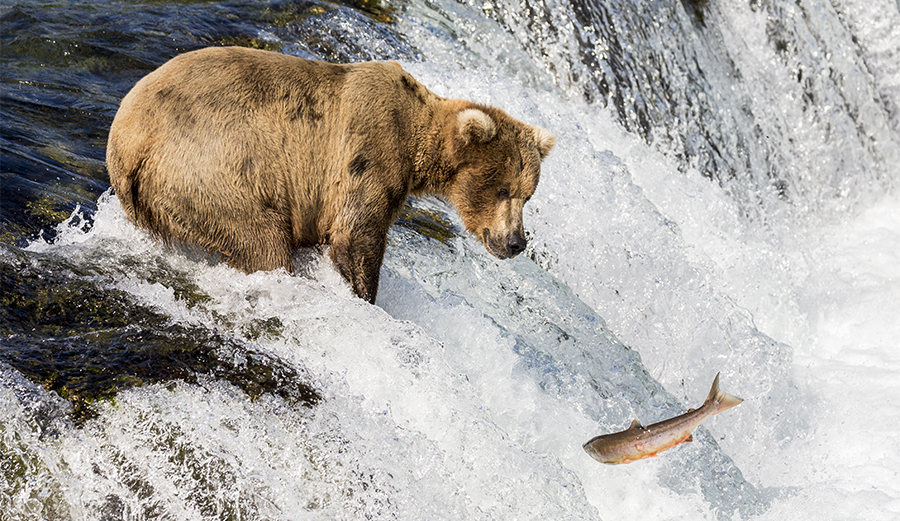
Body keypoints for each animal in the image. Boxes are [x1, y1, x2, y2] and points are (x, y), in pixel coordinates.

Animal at [106, 46, 555, 303]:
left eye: (528, 194)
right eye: (503, 190)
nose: (516, 242)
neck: (416, 143)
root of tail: (127, 139)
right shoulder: (368, 152)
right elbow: (357, 236)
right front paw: (364, 295)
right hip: (215, 170)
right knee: (262, 241)